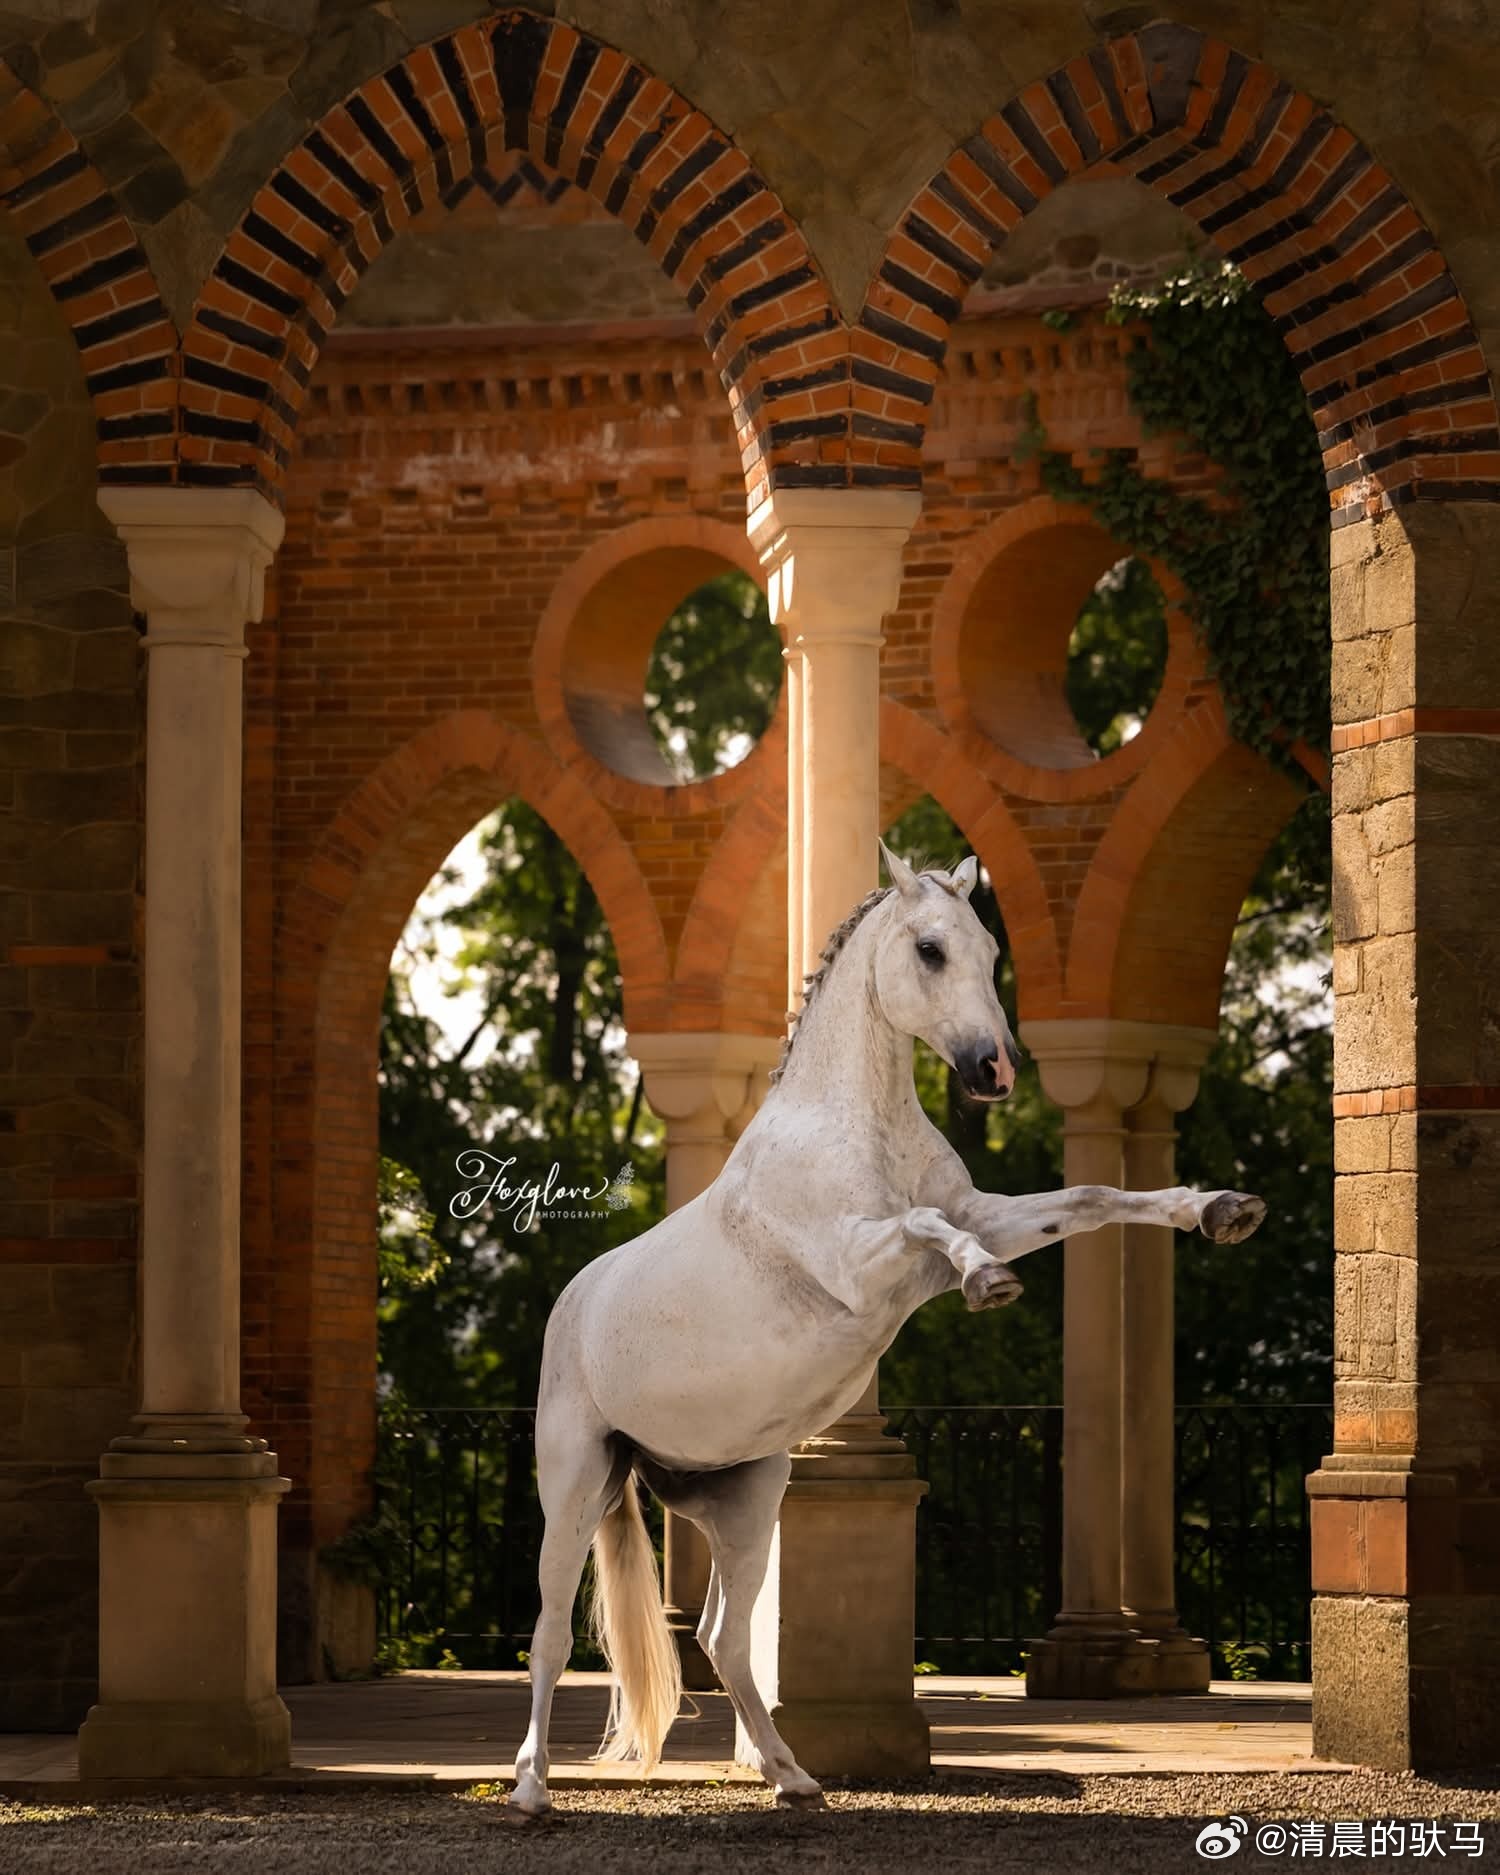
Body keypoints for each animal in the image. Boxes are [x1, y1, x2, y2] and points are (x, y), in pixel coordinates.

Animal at [507, 843, 1265, 1819]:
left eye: (990, 950)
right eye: (930, 949)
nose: (993, 1071)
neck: (852, 1125)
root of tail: (575, 1302)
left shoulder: (982, 1216)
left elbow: (1091, 1199)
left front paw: (1221, 1208)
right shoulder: (864, 1262)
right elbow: (929, 1226)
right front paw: (990, 1281)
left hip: (745, 1497)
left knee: (722, 1637)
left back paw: (793, 1777)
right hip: (575, 1485)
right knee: (551, 1633)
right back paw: (532, 1788)